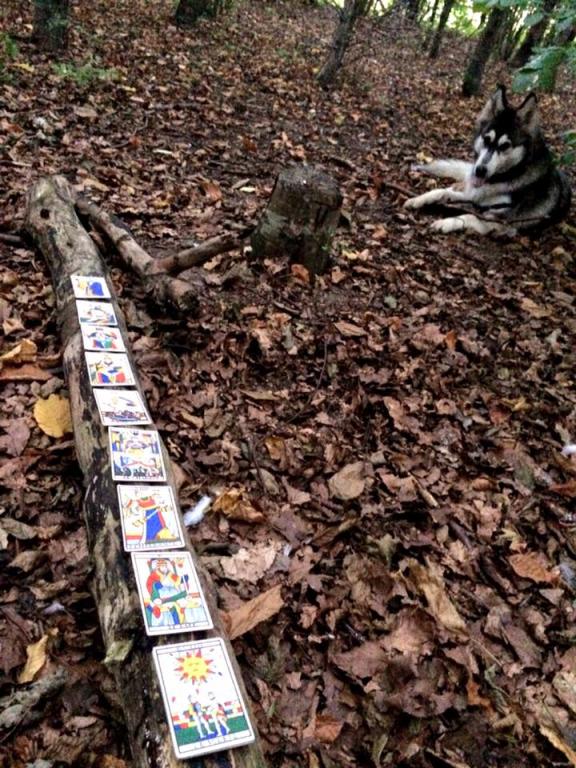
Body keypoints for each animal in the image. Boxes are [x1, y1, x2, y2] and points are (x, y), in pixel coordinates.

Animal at [404, 83, 572, 234]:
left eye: (505, 146)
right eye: (486, 139)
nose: (480, 171)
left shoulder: (501, 221)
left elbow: (469, 216)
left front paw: (446, 222)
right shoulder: (472, 195)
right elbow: (441, 191)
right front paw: (419, 199)